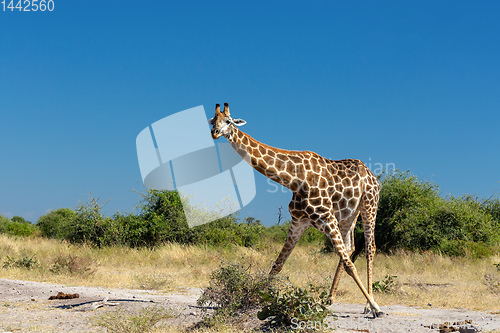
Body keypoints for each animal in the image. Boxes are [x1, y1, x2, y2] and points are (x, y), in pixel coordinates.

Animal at [207, 102, 382, 316]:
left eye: (229, 121)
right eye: (213, 121)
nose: (215, 133)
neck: (294, 179)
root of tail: (373, 176)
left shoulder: (327, 216)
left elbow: (350, 265)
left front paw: (376, 307)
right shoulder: (298, 222)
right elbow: (277, 264)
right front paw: (254, 297)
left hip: (369, 205)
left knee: (369, 248)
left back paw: (368, 304)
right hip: (349, 215)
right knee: (350, 248)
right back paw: (329, 299)